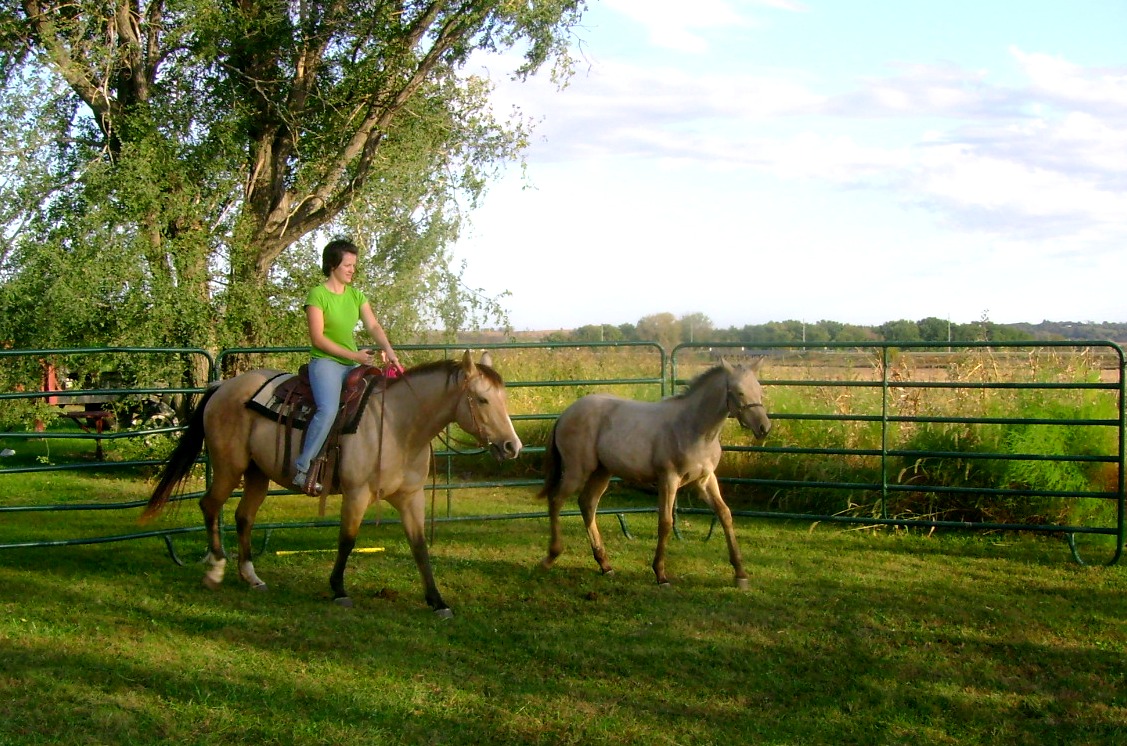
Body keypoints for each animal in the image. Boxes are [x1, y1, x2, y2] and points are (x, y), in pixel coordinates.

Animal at [142, 353, 522, 617]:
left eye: (504, 399)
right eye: (483, 399)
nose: (512, 447)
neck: (397, 425)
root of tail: (222, 387)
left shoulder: (410, 497)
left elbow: (419, 547)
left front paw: (437, 601)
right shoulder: (357, 494)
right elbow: (347, 540)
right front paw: (339, 590)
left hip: (257, 473)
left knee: (244, 517)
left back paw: (250, 576)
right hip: (228, 467)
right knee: (210, 505)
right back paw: (216, 570)